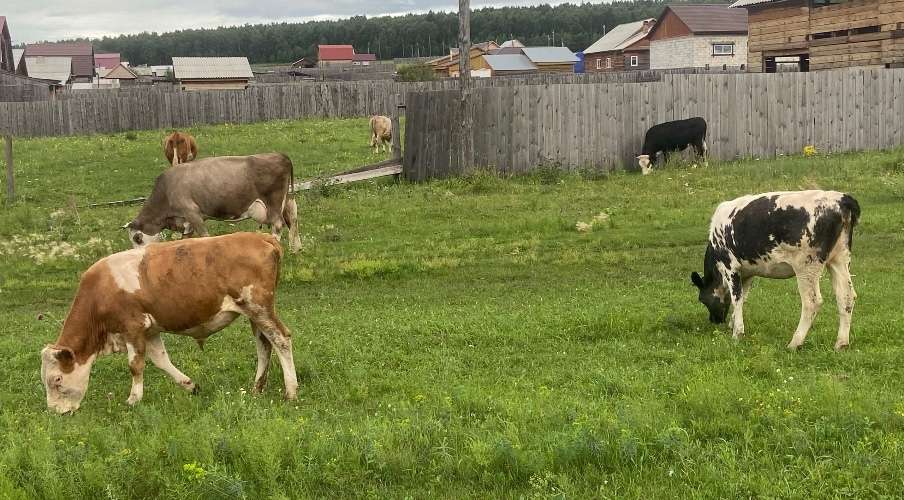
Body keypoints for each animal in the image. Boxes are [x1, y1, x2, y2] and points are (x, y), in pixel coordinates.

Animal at [40, 233, 299, 414]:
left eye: (57, 380)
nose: (55, 412)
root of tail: (261, 236)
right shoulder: (150, 330)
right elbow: (161, 360)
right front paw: (190, 385)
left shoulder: (132, 326)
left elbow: (135, 365)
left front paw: (133, 399)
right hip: (254, 313)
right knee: (264, 344)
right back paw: (257, 388)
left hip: (259, 307)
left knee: (280, 339)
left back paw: (291, 391)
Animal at [125, 153, 301, 253]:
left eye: (137, 238)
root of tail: (280, 155)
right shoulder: (186, 221)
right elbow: (186, 239)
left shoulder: (192, 213)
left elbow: (204, 236)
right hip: (286, 199)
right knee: (292, 220)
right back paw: (296, 249)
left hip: (273, 201)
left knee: (278, 224)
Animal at [691, 190, 860, 351]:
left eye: (702, 299)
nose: (714, 321)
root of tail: (841, 199)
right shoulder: (747, 273)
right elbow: (743, 297)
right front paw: (733, 323)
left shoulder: (730, 267)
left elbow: (736, 299)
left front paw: (737, 334)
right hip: (839, 259)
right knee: (846, 296)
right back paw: (841, 344)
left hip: (807, 265)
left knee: (812, 302)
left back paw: (795, 343)